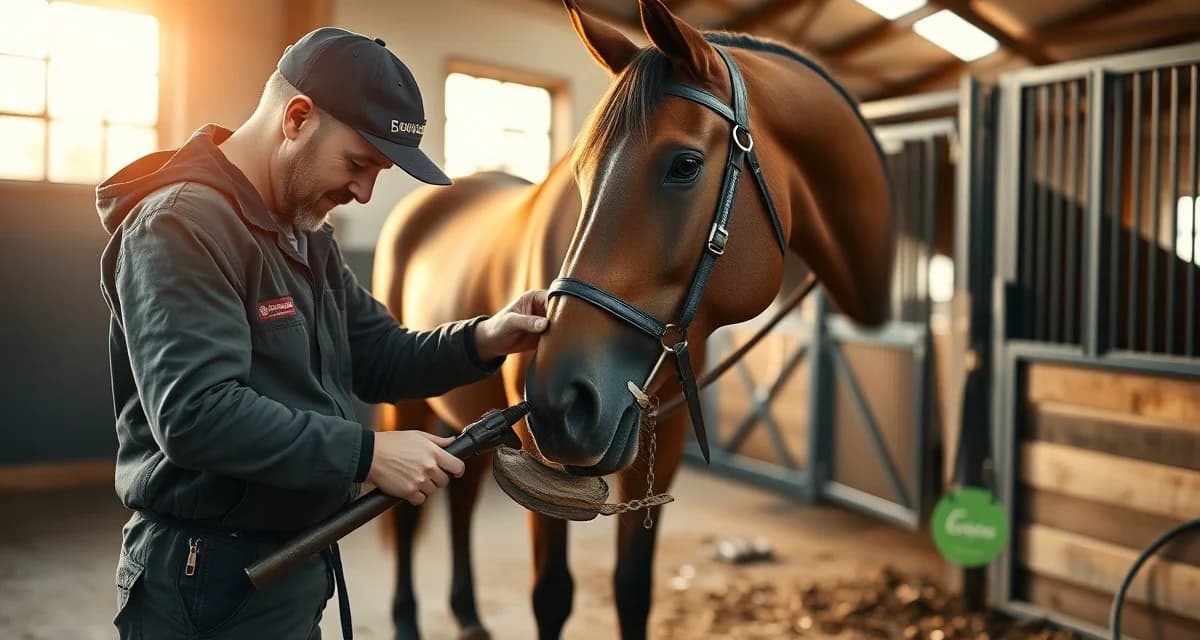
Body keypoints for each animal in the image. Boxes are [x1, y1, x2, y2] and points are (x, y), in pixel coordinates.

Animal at [371, 1, 895, 638]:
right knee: (407, 517)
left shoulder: (661, 438)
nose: (560, 401)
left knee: (462, 499)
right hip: (409, 405)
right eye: (581, 172)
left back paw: (469, 613)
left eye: (686, 165)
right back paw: (406, 619)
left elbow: (633, 587)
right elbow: (552, 593)